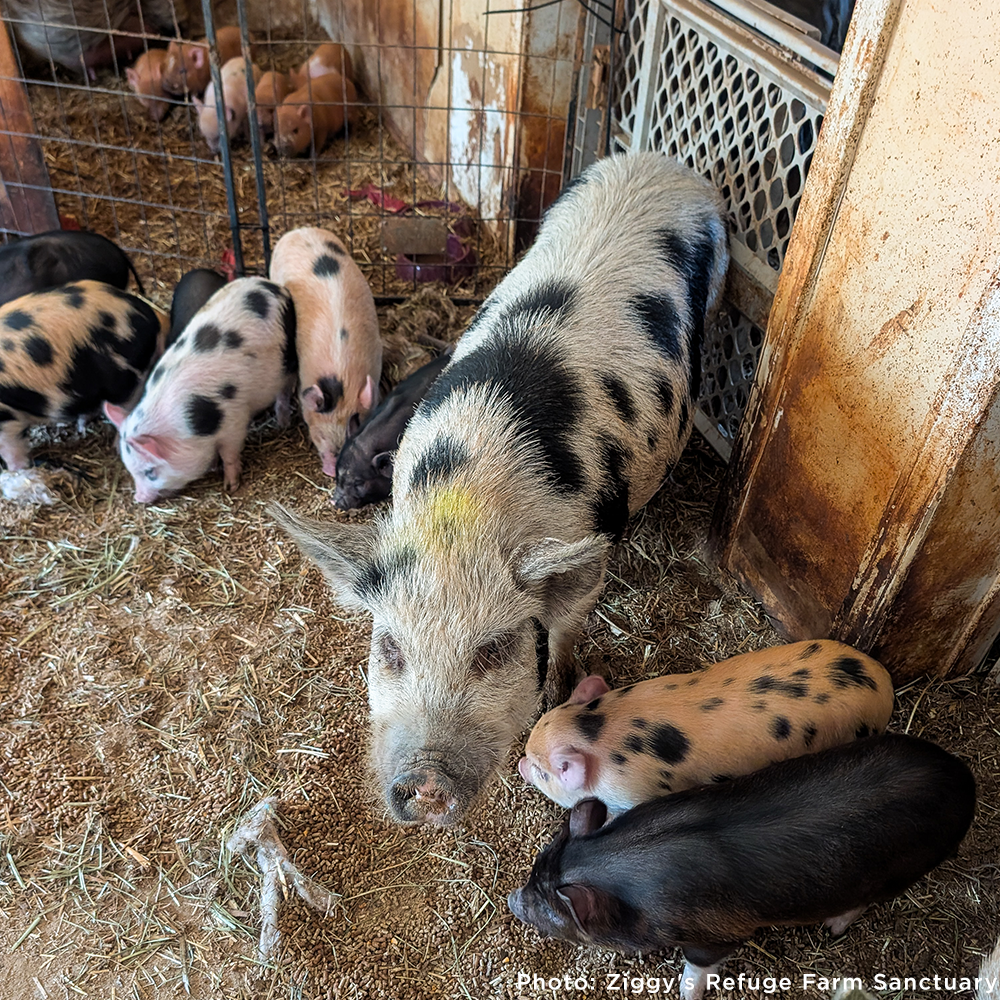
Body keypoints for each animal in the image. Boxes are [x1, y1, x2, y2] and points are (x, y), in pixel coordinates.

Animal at [0, 281, 167, 470]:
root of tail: (150, 316)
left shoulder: (7, 418)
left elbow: (12, 448)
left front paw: (18, 469)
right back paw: (81, 427)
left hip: (129, 380)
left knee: (125, 411)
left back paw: (116, 448)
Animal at [104, 277, 296, 502]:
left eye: (150, 472)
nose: (139, 498)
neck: (188, 426)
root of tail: (271, 285)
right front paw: (214, 467)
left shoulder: (234, 421)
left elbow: (230, 454)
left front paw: (231, 486)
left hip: (288, 361)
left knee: (284, 392)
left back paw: (283, 424)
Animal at [508, 733, 976, 1000]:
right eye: (534, 873)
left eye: (548, 908)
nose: (512, 898)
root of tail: (964, 781)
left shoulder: (721, 933)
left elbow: (700, 963)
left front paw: (686, 994)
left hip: (902, 869)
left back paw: (834, 926)